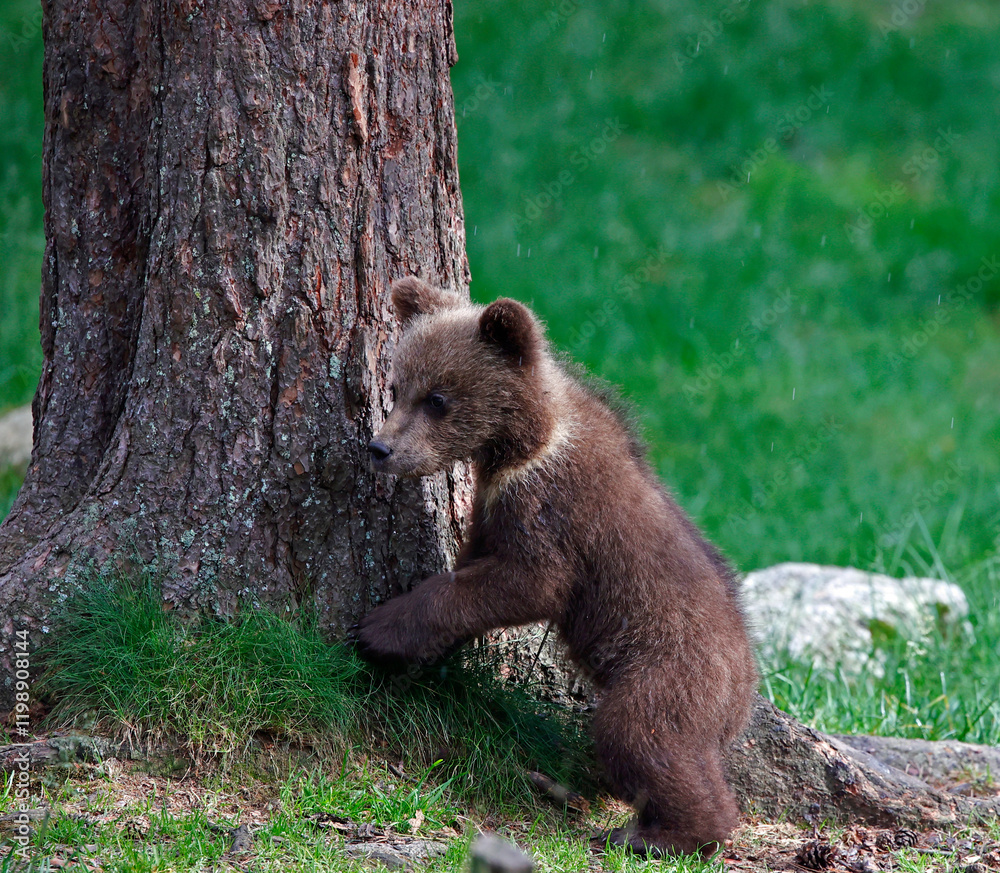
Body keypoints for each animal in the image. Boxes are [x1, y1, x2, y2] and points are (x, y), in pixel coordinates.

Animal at [353, 276, 758, 857]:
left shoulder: (548, 509)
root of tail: (742, 698)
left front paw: (380, 630)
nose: (381, 448)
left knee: (641, 735)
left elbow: (526, 583)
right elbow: (475, 563)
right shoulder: (493, 503)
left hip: (670, 672)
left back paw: (656, 833)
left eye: (438, 398)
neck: (520, 442)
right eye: (398, 385)